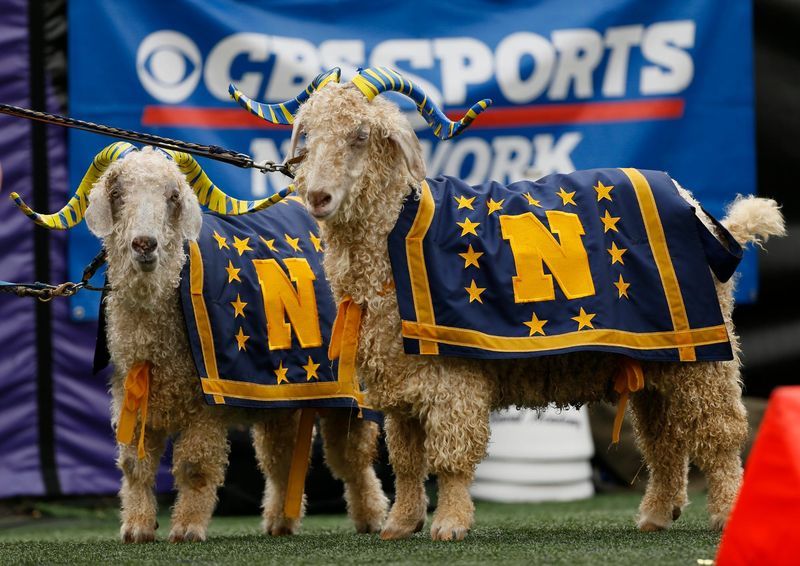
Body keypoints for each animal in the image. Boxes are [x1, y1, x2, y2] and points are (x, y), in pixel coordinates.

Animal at [11, 141, 387, 542]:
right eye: (117, 194)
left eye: (173, 196)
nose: (144, 244)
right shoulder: (133, 392)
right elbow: (134, 465)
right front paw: (137, 527)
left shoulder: (206, 401)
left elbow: (195, 465)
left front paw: (187, 527)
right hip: (281, 391)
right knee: (279, 456)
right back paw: (279, 521)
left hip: (347, 386)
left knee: (350, 455)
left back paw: (371, 516)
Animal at [232, 67, 786, 541]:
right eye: (307, 136)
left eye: (361, 136)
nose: (318, 198)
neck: (395, 235)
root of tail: (710, 219)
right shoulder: (401, 383)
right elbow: (408, 462)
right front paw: (401, 524)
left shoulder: (452, 375)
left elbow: (451, 459)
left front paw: (449, 524)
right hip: (659, 359)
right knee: (664, 440)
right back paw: (656, 513)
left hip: (703, 354)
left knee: (720, 437)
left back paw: (726, 514)